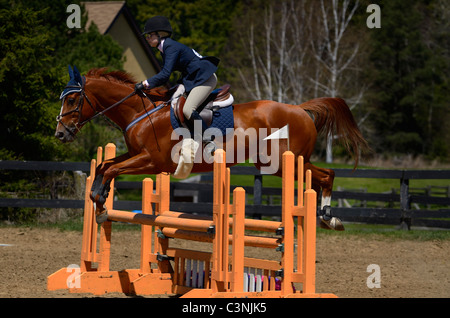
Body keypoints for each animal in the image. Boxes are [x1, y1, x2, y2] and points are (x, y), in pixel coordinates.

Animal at [54, 67, 368, 230]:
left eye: (72, 100)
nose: (60, 133)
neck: (140, 112)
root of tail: (300, 109)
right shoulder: (135, 155)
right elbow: (105, 166)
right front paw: (99, 197)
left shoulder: (152, 161)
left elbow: (112, 170)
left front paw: (99, 203)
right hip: (281, 164)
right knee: (321, 177)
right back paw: (327, 217)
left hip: (284, 162)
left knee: (327, 175)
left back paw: (329, 217)